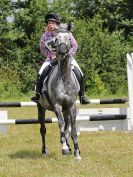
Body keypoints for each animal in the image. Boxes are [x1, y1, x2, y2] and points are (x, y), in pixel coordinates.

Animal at [37, 23, 81, 160]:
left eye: (69, 38)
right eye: (56, 39)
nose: (61, 52)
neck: (64, 78)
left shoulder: (71, 106)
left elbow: (72, 129)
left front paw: (76, 151)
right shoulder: (57, 105)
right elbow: (61, 125)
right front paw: (65, 147)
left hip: (65, 109)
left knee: (67, 126)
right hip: (41, 108)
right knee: (43, 129)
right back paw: (44, 151)